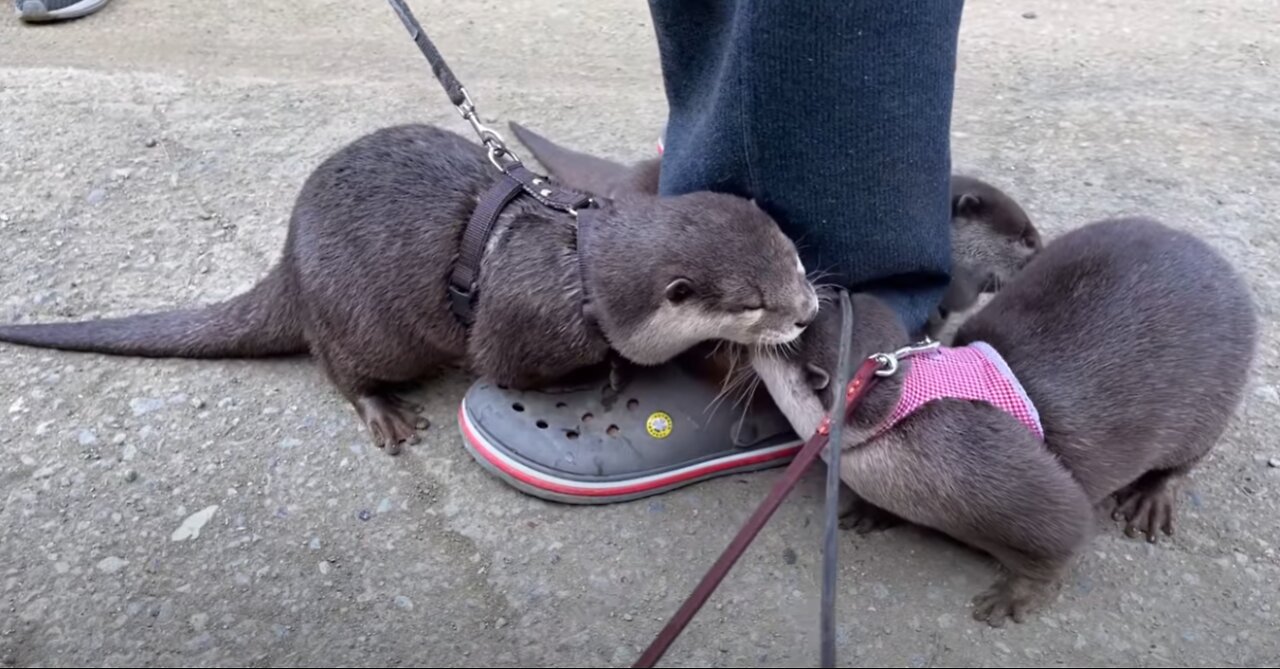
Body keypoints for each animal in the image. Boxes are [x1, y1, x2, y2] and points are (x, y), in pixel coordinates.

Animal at [0, 124, 814, 455]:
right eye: (754, 302)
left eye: (796, 262)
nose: (807, 313)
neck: (578, 267)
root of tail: (291, 262)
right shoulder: (518, 329)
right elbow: (508, 368)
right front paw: (595, 376)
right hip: (358, 319)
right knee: (339, 367)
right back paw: (383, 412)